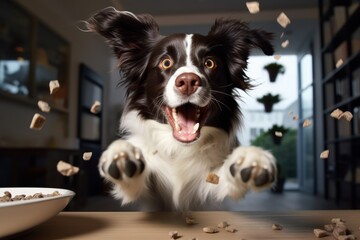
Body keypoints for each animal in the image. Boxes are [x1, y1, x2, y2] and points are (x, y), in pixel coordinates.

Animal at [86, 7, 278, 210]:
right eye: (166, 62)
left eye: (209, 63)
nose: (188, 82)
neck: (179, 149)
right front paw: (123, 154)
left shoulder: (209, 195)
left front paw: (250, 159)